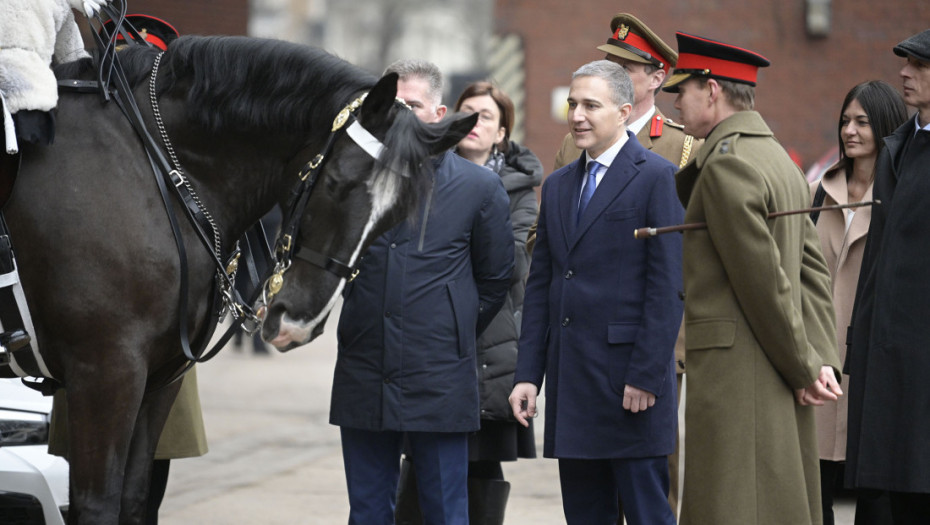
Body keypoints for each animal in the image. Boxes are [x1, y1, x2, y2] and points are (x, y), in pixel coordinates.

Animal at [1, 34, 472, 520]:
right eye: (337, 183)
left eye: (393, 216)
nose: (298, 322)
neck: (155, 168)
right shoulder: (105, 370)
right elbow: (98, 505)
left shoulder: (159, 377)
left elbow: (133, 499)